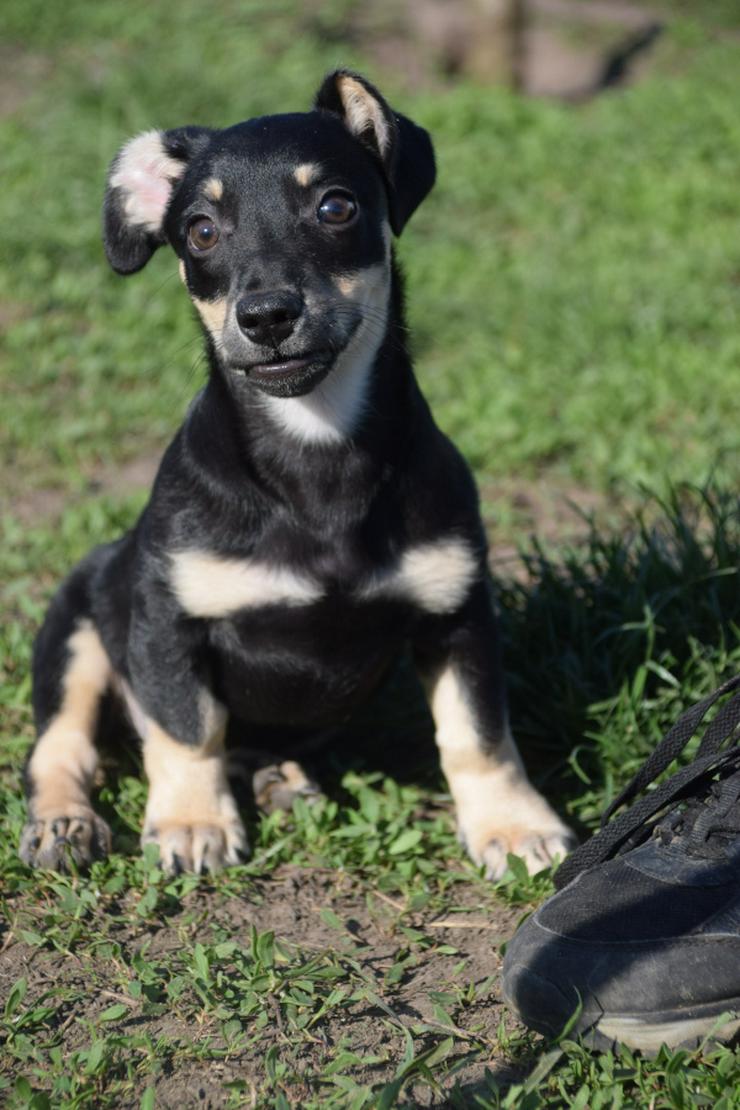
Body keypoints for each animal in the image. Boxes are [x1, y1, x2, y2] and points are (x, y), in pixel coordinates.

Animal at [17, 73, 576, 879]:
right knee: (60, 747)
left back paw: (277, 778)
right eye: (201, 231)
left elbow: (478, 735)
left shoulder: (457, 613)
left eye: (335, 207)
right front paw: (191, 822)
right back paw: (64, 823)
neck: (317, 450)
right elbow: (186, 728)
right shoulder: (167, 620)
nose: (267, 316)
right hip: (77, 635)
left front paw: (513, 825)